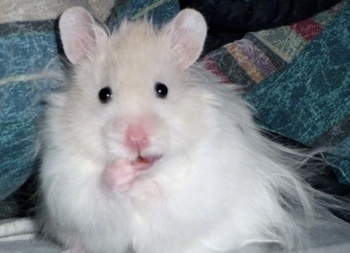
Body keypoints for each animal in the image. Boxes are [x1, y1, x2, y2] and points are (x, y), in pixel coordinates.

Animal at [40, 5, 328, 253]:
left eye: (162, 90)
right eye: (104, 94)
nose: (137, 139)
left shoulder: (203, 181)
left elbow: (167, 196)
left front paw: (142, 186)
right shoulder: (66, 182)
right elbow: (97, 193)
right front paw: (121, 174)